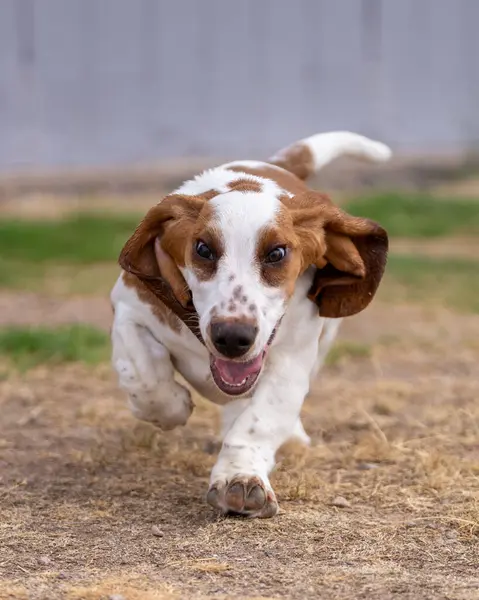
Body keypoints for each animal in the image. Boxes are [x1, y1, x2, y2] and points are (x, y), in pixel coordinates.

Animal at [110, 130, 392, 516]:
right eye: (202, 249)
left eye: (277, 254)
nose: (232, 337)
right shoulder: (128, 308)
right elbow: (144, 376)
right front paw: (172, 407)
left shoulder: (290, 361)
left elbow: (260, 420)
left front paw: (239, 478)